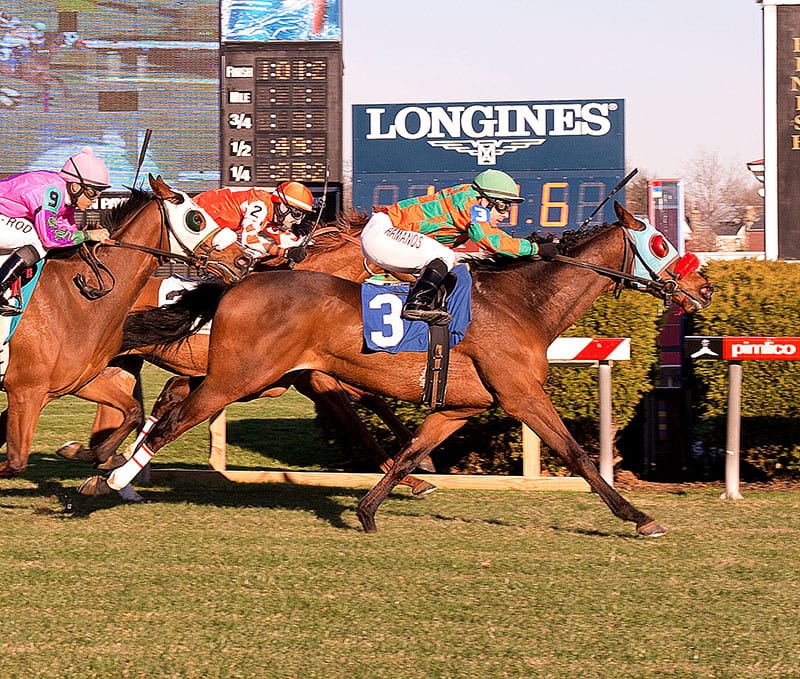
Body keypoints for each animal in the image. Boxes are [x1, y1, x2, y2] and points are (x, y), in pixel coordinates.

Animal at [0, 175, 253, 478]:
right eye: (196, 218)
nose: (244, 259)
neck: (77, 299)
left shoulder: (75, 382)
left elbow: (132, 411)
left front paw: (95, 454)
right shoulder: (26, 390)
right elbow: (15, 462)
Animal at [81, 202, 716, 536]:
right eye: (660, 242)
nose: (704, 286)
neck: (526, 304)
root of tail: (238, 283)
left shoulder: (460, 407)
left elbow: (410, 449)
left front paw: (369, 509)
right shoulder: (520, 394)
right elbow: (577, 455)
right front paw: (638, 516)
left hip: (240, 377)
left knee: (163, 407)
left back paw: (104, 470)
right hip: (235, 379)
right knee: (169, 420)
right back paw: (112, 478)